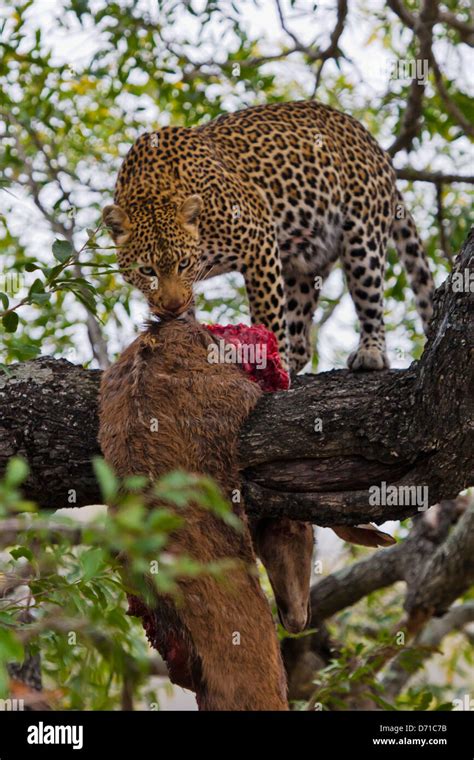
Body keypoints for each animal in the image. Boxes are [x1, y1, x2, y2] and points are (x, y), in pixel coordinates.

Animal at [103, 101, 434, 374]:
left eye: (183, 264)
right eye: (147, 270)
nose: (171, 306)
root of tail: (374, 145)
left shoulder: (259, 237)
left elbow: (269, 315)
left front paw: (272, 364)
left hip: (363, 240)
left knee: (370, 301)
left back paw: (370, 352)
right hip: (306, 261)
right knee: (302, 337)